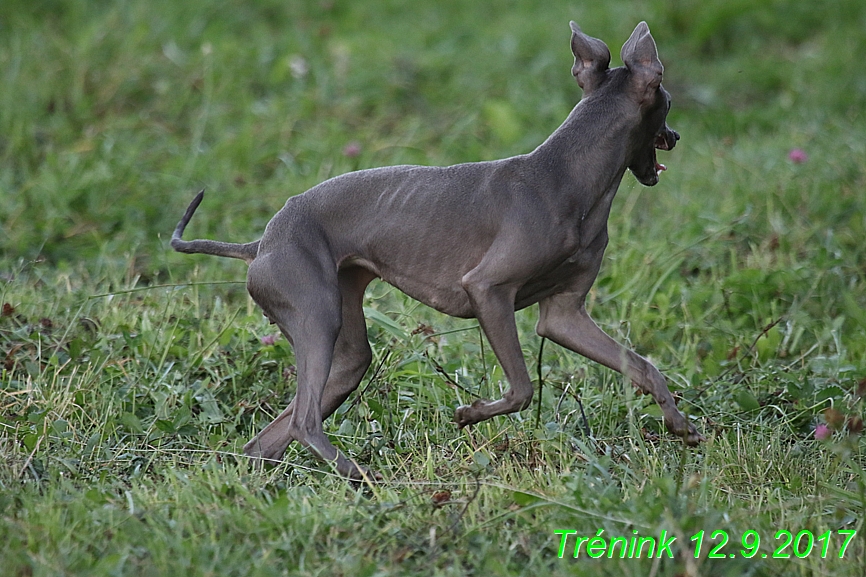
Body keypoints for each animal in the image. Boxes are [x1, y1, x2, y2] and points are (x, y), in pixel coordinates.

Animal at [170, 21, 704, 476]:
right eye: (668, 101)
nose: (677, 136)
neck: (569, 175)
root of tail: (261, 243)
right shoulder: (488, 290)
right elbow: (522, 389)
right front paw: (469, 414)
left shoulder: (564, 314)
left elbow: (642, 366)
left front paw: (680, 425)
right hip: (316, 316)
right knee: (303, 421)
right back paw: (361, 476)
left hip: (345, 351)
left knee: (268, 438)